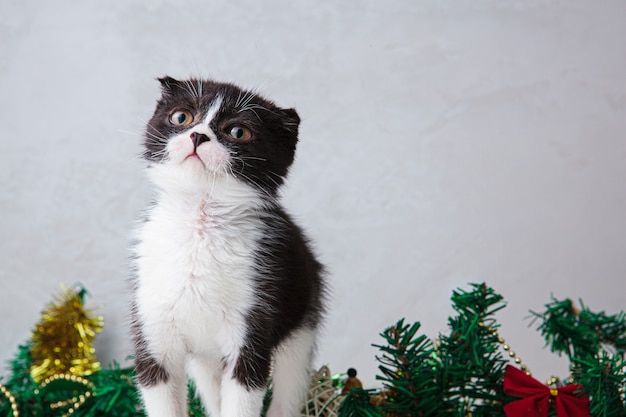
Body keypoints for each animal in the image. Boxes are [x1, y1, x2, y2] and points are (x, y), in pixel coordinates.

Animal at [129, 77, 324, 416]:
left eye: (238, 132)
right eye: (181, 117)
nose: (198, 135)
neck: (200, 222)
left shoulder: (253, 319)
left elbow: (243, 395)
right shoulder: (153, 325)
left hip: (302, 319)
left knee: (290, 384)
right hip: (204, 359)